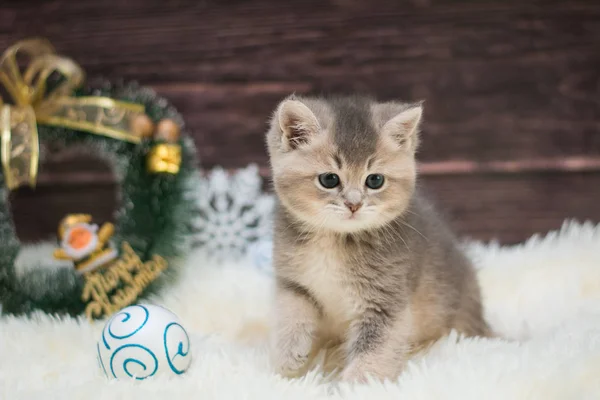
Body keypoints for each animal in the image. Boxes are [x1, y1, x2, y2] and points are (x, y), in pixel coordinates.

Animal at [264, 94, 490, 382]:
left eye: (374, 180)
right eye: (329, 179)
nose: (354, 204)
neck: (335, 239)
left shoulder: (384, 302)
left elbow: (374, 349)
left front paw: (356, 382)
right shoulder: (293, 282)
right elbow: (290, 313)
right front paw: (289, 355)